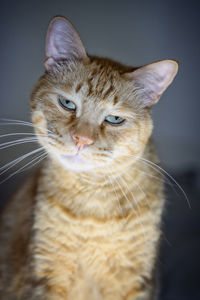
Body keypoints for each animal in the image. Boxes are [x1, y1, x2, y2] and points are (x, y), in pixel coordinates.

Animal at [0, 16, 178, 300]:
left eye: (114, 119)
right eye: (67, 104)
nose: (81, 140)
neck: (93, 204)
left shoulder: (133, 278)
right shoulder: (47, 274)